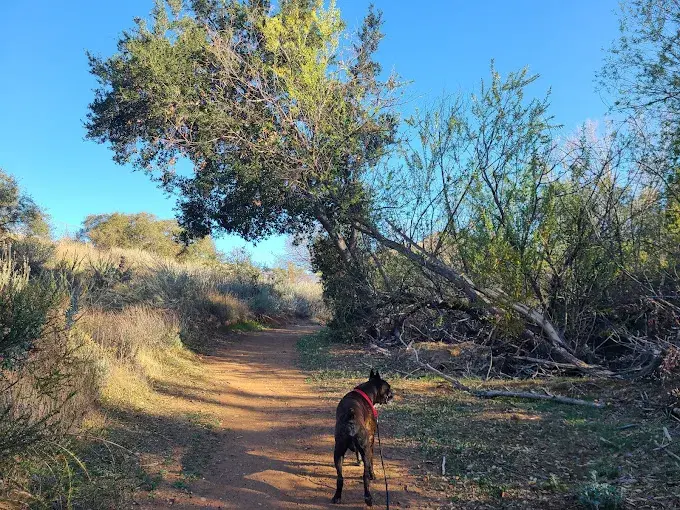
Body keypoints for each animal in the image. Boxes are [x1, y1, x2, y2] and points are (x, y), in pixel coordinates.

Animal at [330, 370, 394, 506]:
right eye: (388, 388)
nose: (393, 394)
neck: (366, 392)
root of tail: (351, 418)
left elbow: (357, 453)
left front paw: (358, 461)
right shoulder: (371, 440)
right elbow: (371, 462)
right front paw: (372, 474)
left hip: (338, 452)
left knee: (340, 477)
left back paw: (337, 496)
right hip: (366, 449)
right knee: (365, 476)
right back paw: (368, 497)